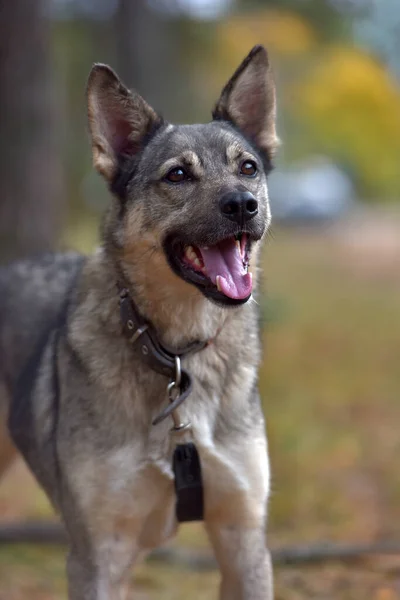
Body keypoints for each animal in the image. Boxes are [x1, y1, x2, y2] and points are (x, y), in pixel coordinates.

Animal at [0, 44, 278, 596]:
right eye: (177, 175)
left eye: (248, 167)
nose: (242, 205)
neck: (177, 354)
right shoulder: (97, 556)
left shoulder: (244, 541)